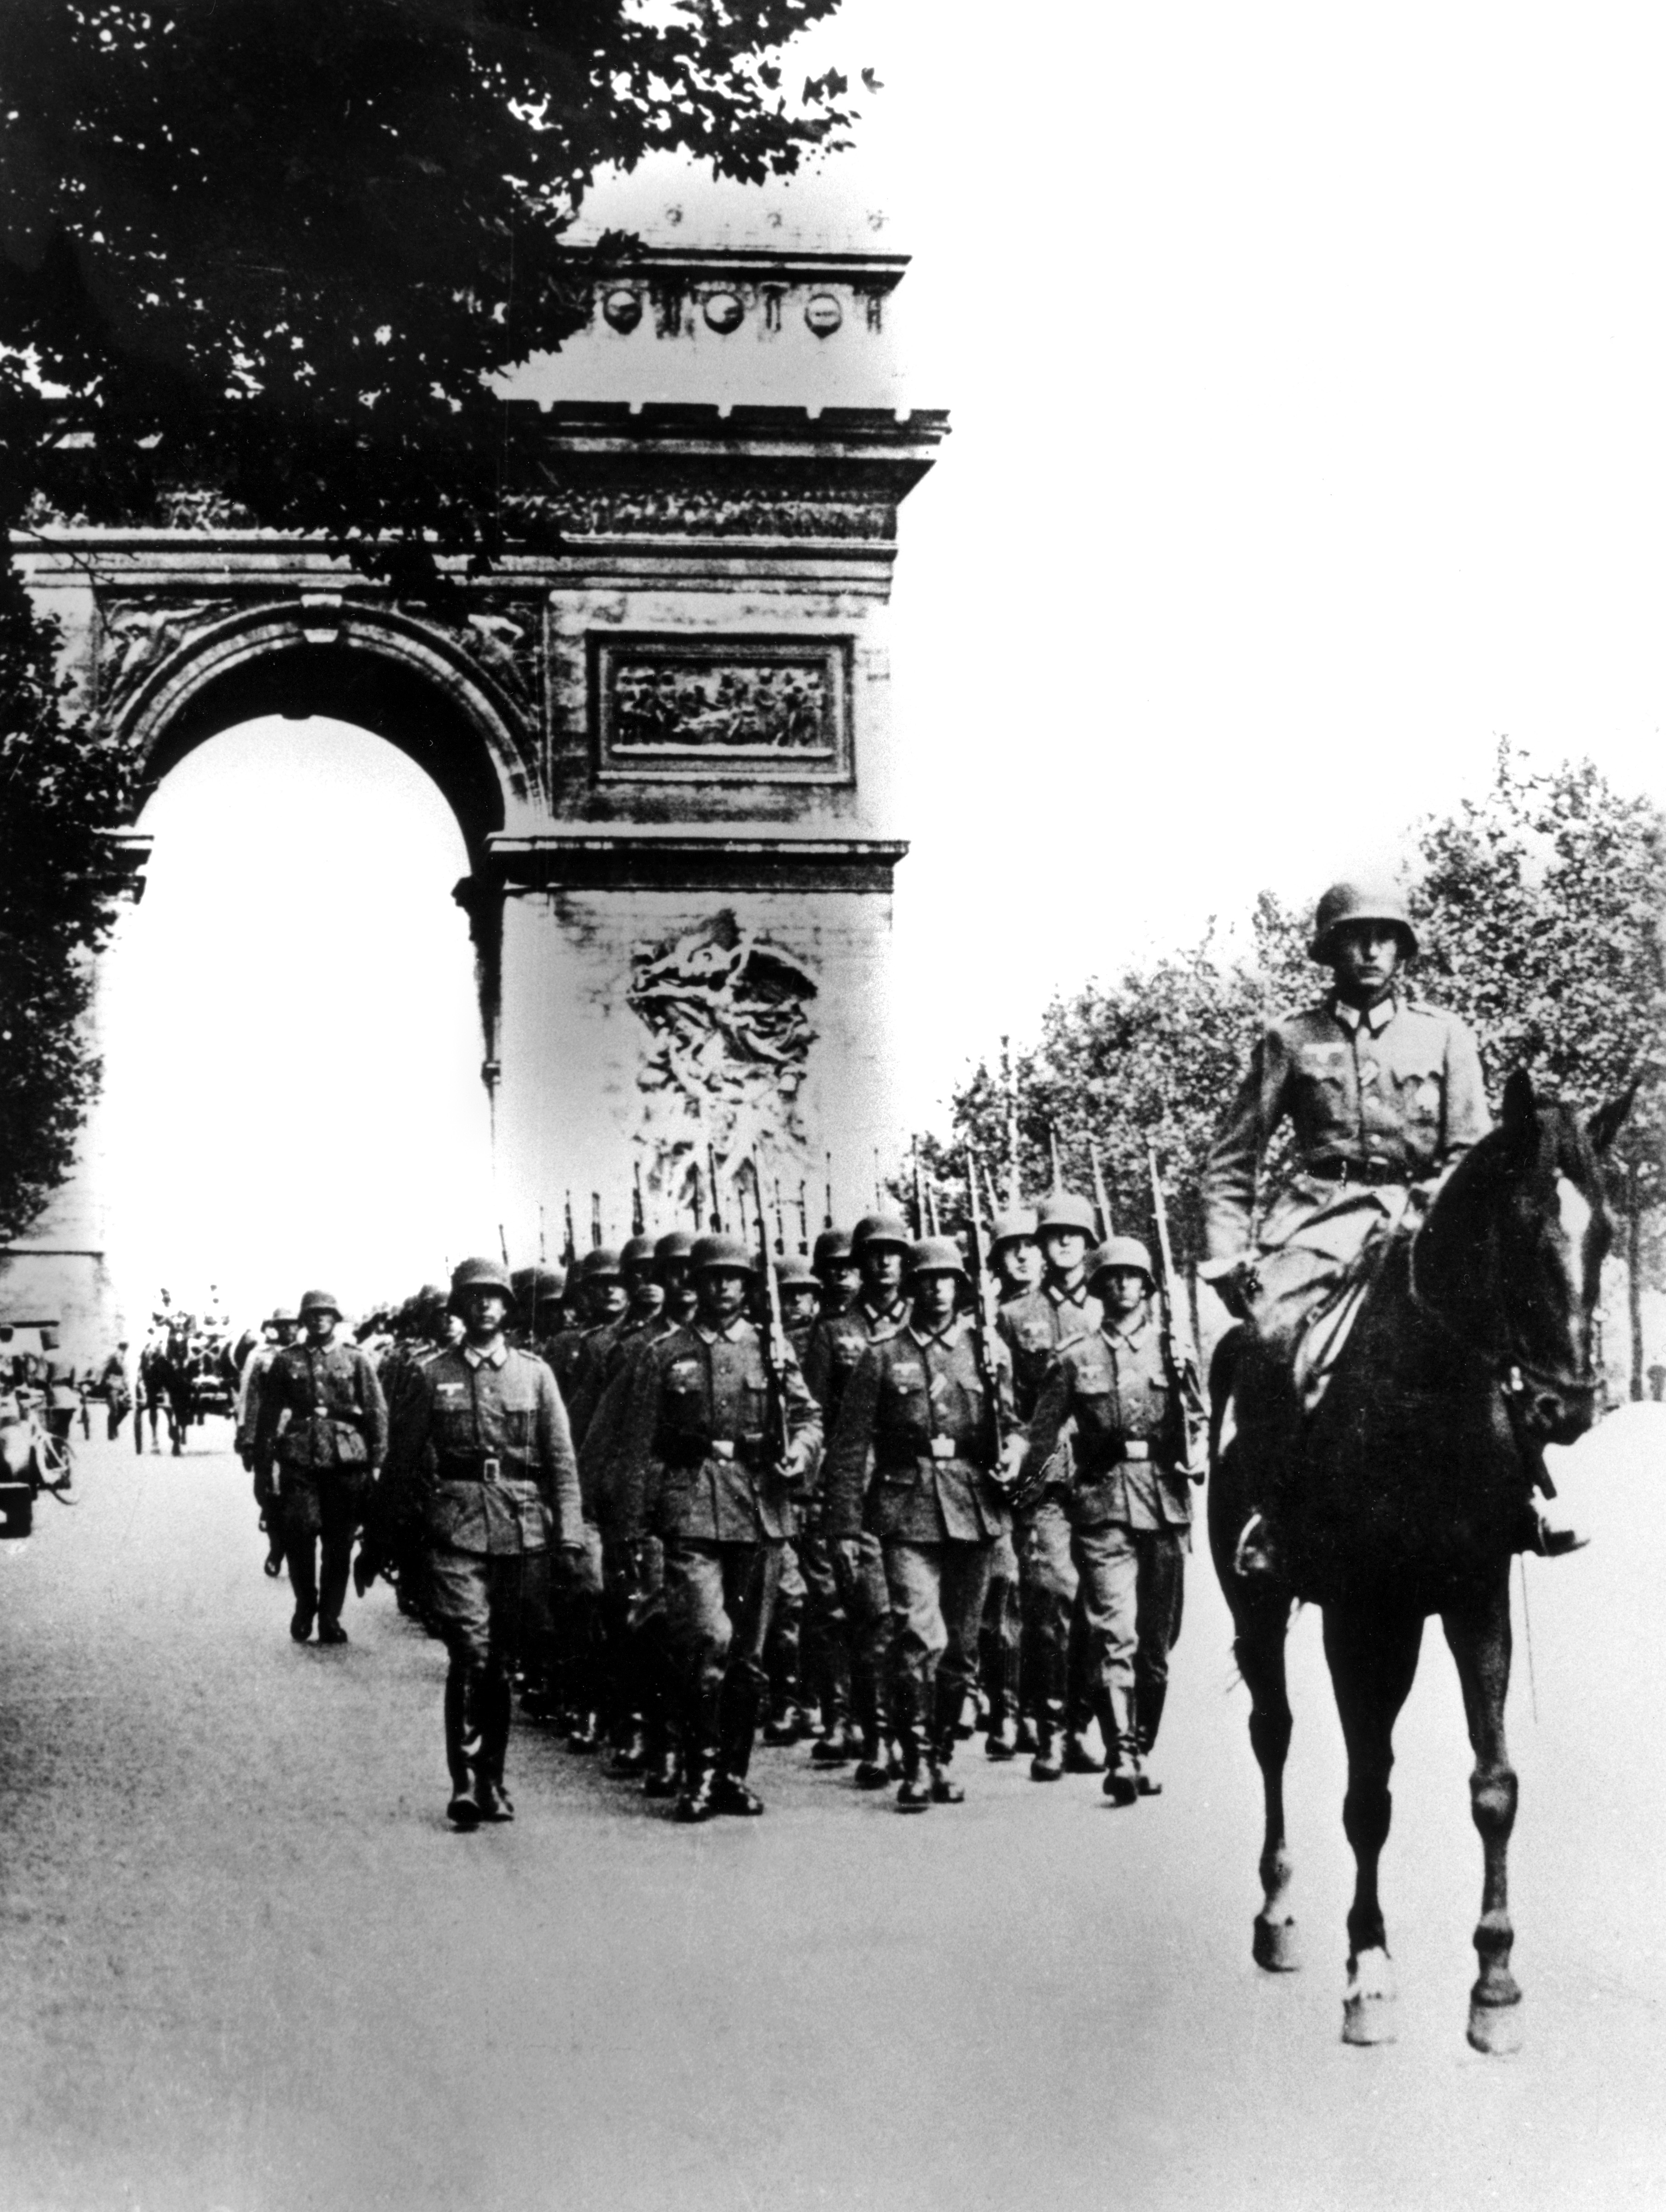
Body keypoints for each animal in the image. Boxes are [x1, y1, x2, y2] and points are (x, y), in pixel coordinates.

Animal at [1212, 1062, 1628, 2043]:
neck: (1421, 1395)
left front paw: (1494, 1983)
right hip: (1260, 1604)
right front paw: (1368, 1972)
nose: (1566, 1409)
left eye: (1607, 1230)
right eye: (1522, 1228)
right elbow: (1366, 1794)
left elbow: (1493, 1785)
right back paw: (1277, 1914)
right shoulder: (1360, 1617)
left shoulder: (1473, 1598)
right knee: (1274, 1732)